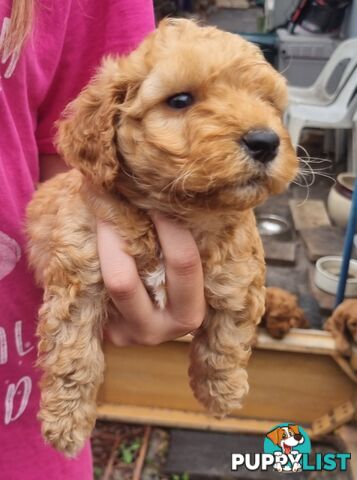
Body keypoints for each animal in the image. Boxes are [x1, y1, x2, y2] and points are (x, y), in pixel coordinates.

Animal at [25, 18, 298, 456]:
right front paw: (65, 423)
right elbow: (74, 356)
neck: (173, 212)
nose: (265, 141)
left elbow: (227, 336)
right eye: (180, 99)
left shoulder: (239, 272)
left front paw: (222, 394)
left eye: (267, 101)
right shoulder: (79, 278)